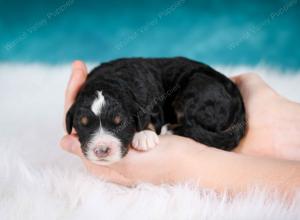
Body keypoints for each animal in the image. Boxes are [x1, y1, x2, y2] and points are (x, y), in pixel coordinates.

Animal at [65, 57, 244, 164]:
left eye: (120, 123)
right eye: (83, 124)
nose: (102, 150)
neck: (110, 80)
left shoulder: (154, 106)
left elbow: (149, 120)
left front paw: (144, 136)